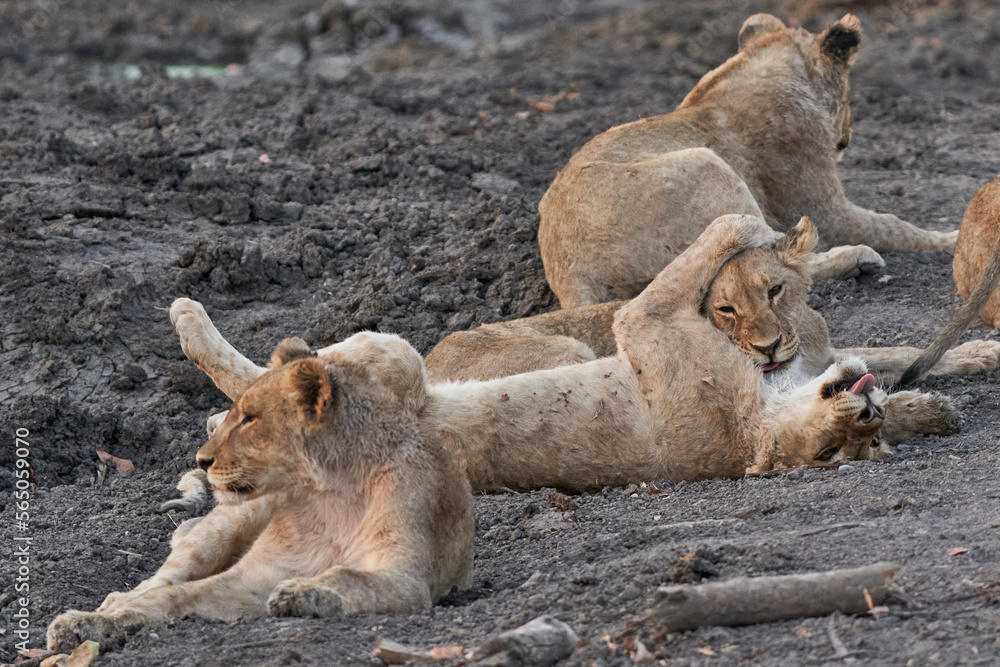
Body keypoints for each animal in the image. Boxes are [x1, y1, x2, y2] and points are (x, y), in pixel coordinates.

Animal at [47, 333, 474, 652]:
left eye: (250, 419)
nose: (201, 460)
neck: (330, 494)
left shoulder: (408, 576)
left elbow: (347, 576)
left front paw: (302, 593)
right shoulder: (254, 575)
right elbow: (172, 596)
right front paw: (90, 623)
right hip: (227, 524)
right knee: (156, 581)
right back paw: (104, 607)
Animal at [153, 216, 961, 496]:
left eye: (846, 444)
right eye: (733, 308)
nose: (864, 407)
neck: (762, 420)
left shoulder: (646, 319)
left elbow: (722, 227)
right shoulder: (651, 318)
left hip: (395, 356)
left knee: (274, 375)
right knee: (269, 369)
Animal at [538, 13, 957, 308]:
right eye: (851, 94)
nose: (848, 135)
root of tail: (570, 272)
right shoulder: (823, 208)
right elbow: (892, 227)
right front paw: (951, 239)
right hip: (708, 166)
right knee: (773, 260)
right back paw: (856, 259)